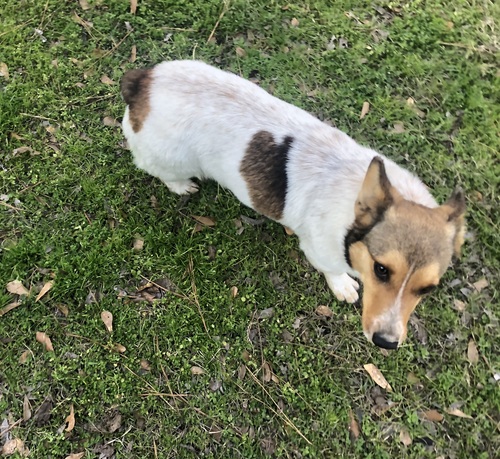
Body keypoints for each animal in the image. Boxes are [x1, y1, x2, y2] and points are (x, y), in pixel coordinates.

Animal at [120, 60, 464, 348]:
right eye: (382, 270)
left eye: (427, 289)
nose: (386, 343)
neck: (352, 214)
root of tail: (144, 82)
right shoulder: (320, 251)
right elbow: (333, 271)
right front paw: (343, 285)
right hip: (169, 160)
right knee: (158, 170)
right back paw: (181, 185)